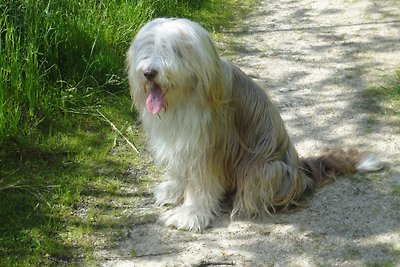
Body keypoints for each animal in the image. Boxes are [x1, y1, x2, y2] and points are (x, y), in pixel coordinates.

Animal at [126, 17, 382, 233]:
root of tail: (301, 170)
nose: (149, 72)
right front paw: (173, 190)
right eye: (149, 46)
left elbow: (201, 184)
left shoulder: (208, 149)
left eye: (175, 51)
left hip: (264, 168)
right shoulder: (180, 141)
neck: (184, 99)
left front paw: (190, 214)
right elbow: (179, 170)